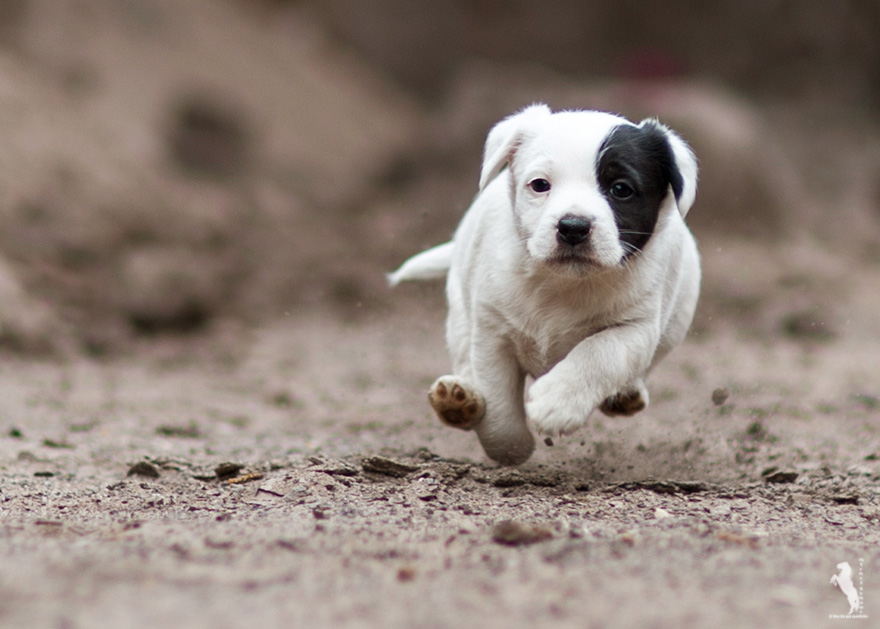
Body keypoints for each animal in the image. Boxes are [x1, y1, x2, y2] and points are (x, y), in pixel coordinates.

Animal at [392, 104, 700, 466]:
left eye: (621, 189)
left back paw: (625, 395)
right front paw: (510, 445)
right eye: (540, 185)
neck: (563, 282)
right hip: (460, 314)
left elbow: (598, 354)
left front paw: (557, 403)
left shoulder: (635, 328)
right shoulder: (493, 332)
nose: (573, 226)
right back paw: (460, 402)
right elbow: (498, 396)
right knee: (464, 356)